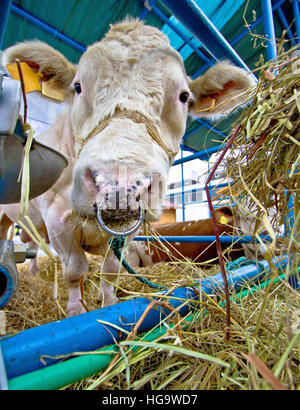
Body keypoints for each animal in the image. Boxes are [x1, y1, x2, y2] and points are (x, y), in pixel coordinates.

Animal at [0, 19, 255, 316]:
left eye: (183, 96)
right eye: (78, 87)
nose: (119, 185)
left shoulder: (128, 232)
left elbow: (110, 272)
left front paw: (107, 303)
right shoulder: (57, 219)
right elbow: (75, 271)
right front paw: (76, 311)